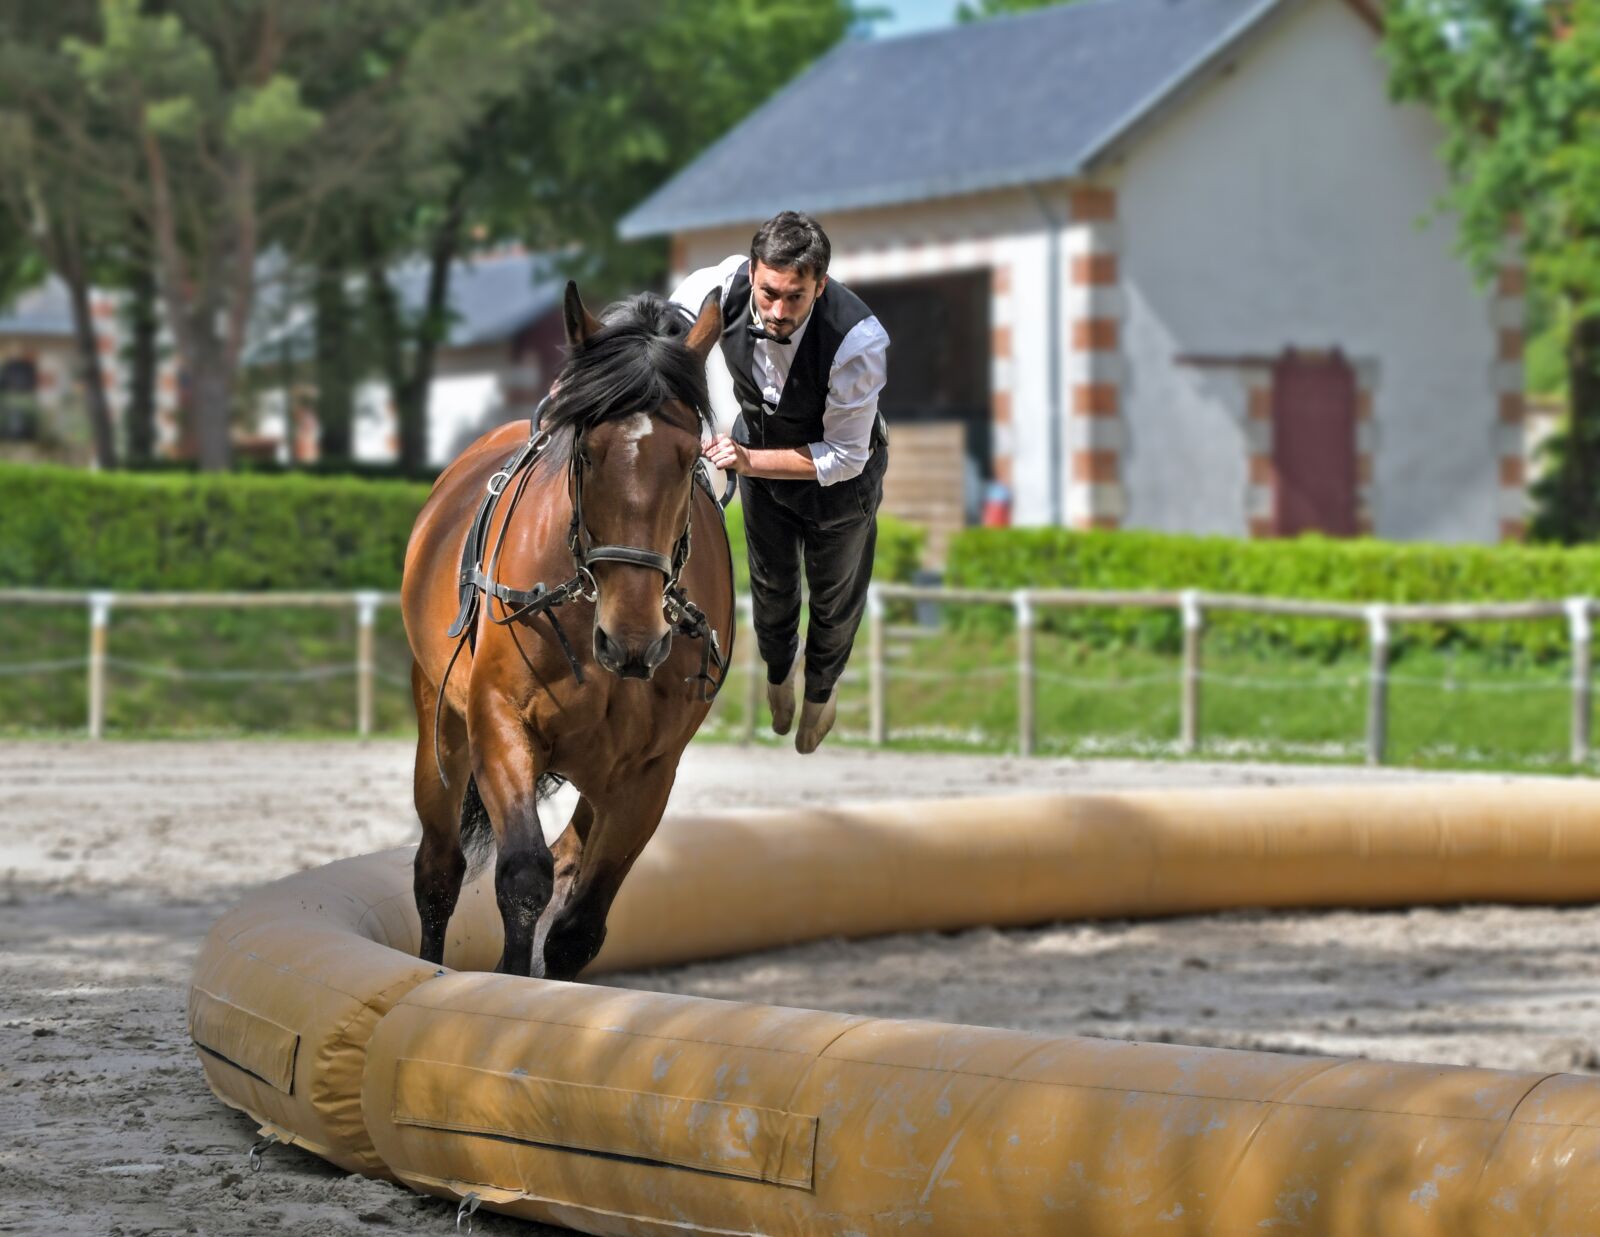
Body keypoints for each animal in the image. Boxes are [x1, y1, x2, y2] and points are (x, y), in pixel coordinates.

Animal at [400, 283, 734, 979]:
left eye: (691, 458)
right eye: (586, 450)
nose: (633, 641)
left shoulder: (649, 773)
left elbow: (578, 926)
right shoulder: (499, 723)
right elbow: (522, 878)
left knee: (566, 857)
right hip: (439, 722)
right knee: (439, 870)